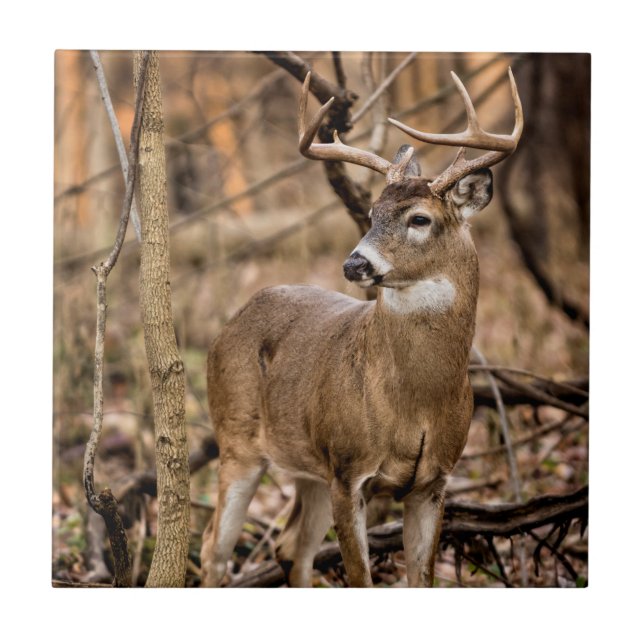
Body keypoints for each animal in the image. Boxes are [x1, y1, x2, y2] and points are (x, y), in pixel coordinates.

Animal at [200, 68, 523, 587]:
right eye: (370, 214)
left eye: (419, 218)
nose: (354, 263)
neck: (416, 404)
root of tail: (230, 323)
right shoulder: (349, 468)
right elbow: (360, 577)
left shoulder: (435, 481)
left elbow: (421, 578)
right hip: (237, 438)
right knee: (215, 548)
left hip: (309, 467)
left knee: (291, 547)